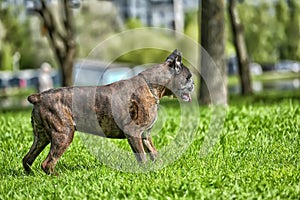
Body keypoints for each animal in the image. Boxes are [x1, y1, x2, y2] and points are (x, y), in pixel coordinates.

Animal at [21, 49, 195, 174]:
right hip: (63, 134)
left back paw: (31, 176)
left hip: (41, 137)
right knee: (47, 163)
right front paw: (145, 173)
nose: (193, 84)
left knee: (27, 159)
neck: (150, 85)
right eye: (188, 77)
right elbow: (142, 157)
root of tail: (39, 97)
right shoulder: (134, 133)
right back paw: (56, 177)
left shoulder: (145, 135)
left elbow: (154, 153)